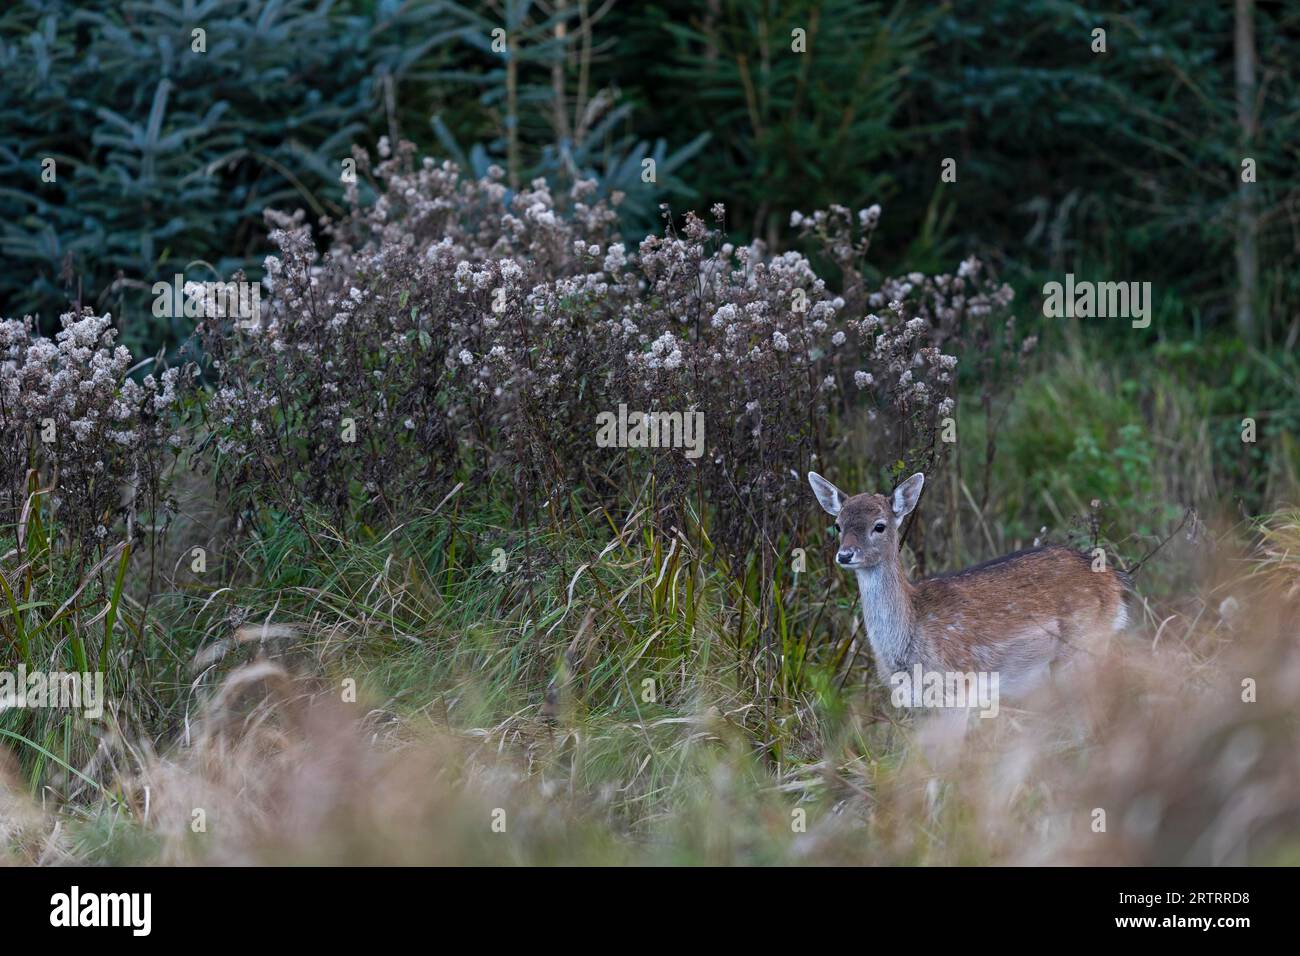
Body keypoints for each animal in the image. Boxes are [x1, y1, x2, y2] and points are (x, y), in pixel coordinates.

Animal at [811, 470, 1128, 702]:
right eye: (838, 524)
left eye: (879, 525)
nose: (845, 555)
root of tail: (1114, 582)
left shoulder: (956, 685)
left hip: (1083, 649)